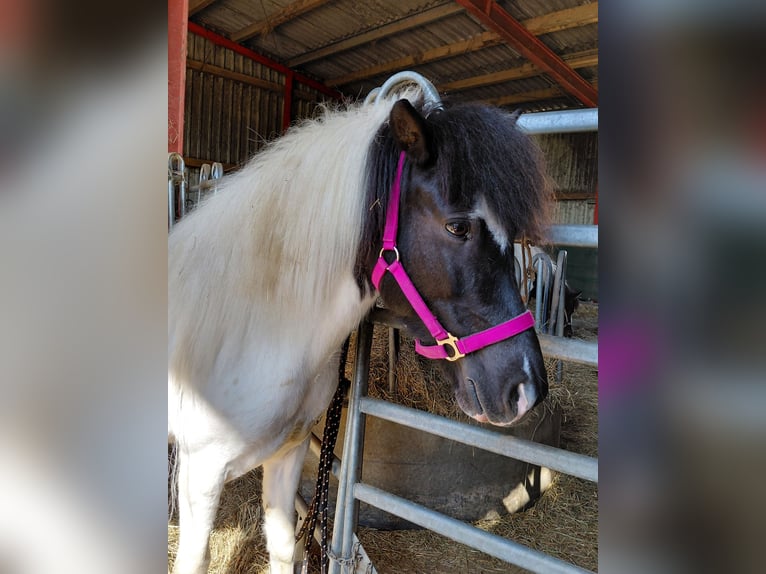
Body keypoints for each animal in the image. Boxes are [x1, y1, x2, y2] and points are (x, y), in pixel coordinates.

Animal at [168, 84, 551, 574]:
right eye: (458, 226)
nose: (527, 389)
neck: (251, 325)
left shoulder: (288, 453)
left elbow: (284, 550)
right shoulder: (201, 474)